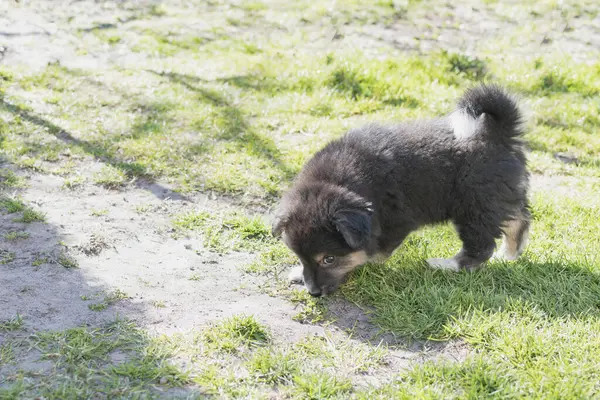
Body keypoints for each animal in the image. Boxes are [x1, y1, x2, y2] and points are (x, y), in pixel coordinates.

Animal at [272, 84, 528, 296]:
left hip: (473, 207)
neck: (342, 181)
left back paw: (445, 265)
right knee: (519, 219)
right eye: (299, 256)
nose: (314, 293)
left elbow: (374, 252)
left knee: (482, 246)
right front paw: (298, 272)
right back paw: (509, 255)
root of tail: (498, 135)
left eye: (329, 259)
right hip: (498, 196)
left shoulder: (397, 222)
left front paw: (364, 263)